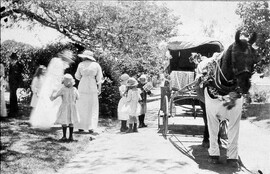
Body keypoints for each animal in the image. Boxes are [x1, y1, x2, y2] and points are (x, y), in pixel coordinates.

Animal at [197, 30, 258, 167]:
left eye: (254, 57)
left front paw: (232, 159)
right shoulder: (211, 110)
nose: (245, 85)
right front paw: (213, 155)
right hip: (204, 104)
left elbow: (233, 135)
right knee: (205, 121)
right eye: (235, 57)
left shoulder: (235, 113)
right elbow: (211, 126)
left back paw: (219, 140)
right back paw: (206, 140)